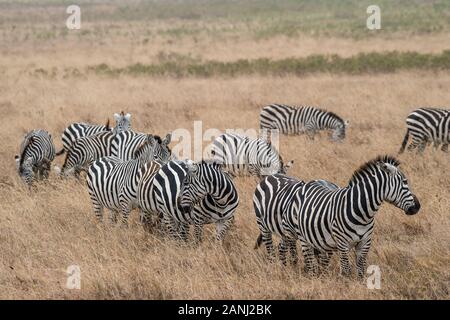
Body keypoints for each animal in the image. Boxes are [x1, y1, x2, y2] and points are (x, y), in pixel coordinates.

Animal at [284, 156, 420, 278]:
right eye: (405, 182)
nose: (418, 206)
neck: (363, 214)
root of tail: (309, 183)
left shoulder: (364, 244)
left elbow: (361, 270)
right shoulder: (342, 244)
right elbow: (346, 271)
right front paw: (347, 285)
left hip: (319, 239)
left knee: (320, 262)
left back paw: (321, 276)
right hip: (302, 237)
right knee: (308, 261)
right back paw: (311, 276)